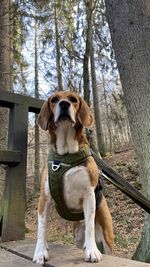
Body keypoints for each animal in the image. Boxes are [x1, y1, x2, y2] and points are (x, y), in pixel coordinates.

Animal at [32, 90, 113, 266]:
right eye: (54, 100)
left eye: (73, 99)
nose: (64, 104)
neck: (66, 155)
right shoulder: (44, 198)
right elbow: (42, 228)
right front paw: (40, 252)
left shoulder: (89, 194)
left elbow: (90, 225)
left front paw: (92, 251)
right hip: (77, 236)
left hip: (107, 235)